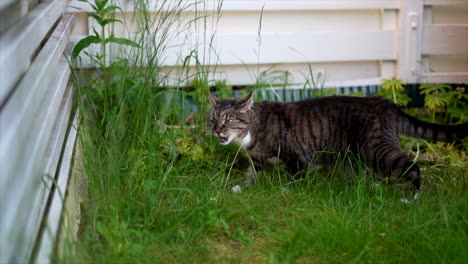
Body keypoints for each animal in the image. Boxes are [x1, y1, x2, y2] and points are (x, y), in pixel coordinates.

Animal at [207, 92, 468, 191]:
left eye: (229, 120)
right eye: (212, 119)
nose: (217, 130)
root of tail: (386, 103)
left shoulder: (297, 159)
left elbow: (294, 178)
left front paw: (285, 191)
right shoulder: (258, 161)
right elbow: (252, 173)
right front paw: (242, 188)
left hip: (376, 149)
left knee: (413, 166)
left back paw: (410, 198)